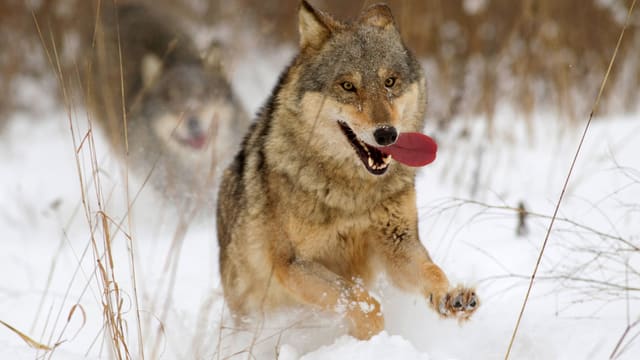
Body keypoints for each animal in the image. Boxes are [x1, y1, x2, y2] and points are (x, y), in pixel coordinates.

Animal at [218, 0, 478, 340]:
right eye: (348, 86)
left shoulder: (398, 244)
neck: (352, 195)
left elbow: (431, 270)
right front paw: (371, 336)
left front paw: (451, 297)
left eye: (389, 82)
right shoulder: (292, 264)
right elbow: (360, 301)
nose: (386, 134)